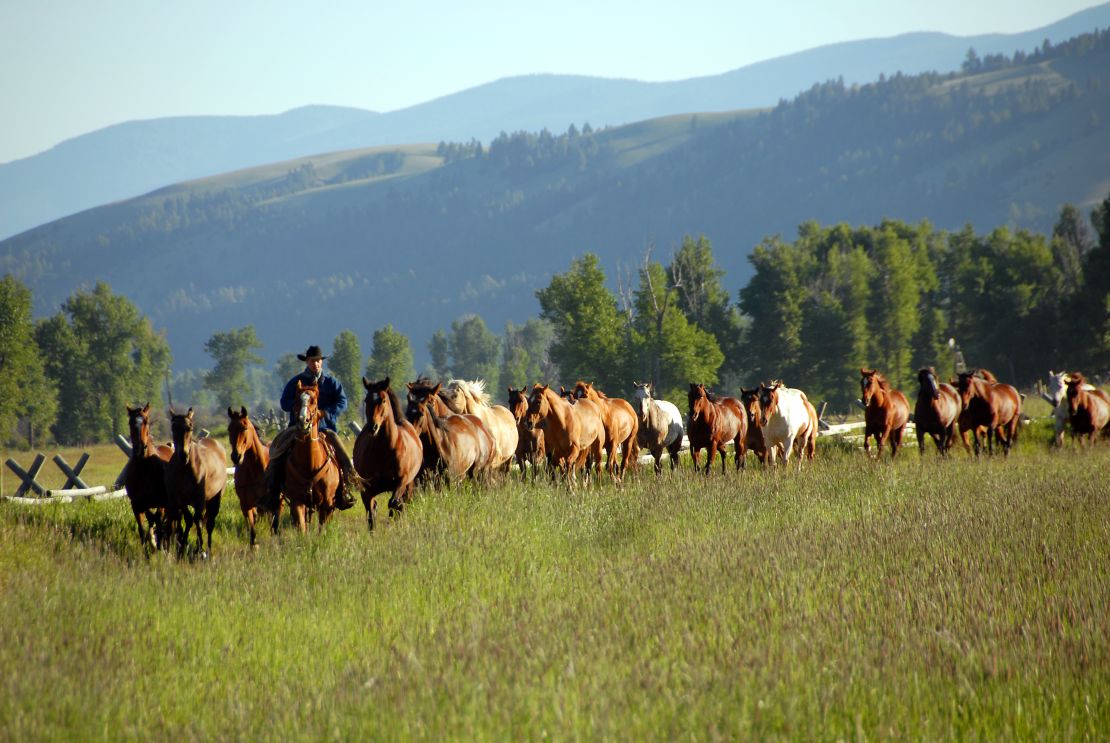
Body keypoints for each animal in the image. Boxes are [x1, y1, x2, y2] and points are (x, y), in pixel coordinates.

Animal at [124, 399, 173, 550]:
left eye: (146, 421)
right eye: (130, 422)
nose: (140, 447)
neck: (144, 470)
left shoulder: (162, 503)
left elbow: (159, 522)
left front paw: (161, 548)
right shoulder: (136, 505)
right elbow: (142, 530)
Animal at [163, 408, 226, 559]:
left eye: (190, 427)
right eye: (173, 427)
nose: (183, 455)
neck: (185, 469)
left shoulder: (199, 499)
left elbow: (197, 520)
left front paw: (200, 549)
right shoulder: (179, 499)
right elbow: (189, 519)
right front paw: (181, 549)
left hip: (215, 498)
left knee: (209, 523)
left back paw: (208, 548)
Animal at [225, 406, 275, 544]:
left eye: (245, 428)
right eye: (229, 429)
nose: (236, 457)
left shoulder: (269, 503)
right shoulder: (245, 504)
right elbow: (252, 530)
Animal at [284, 379, 339, 530]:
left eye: (314, 400)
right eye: (297, 400)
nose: (303, 421)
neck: (310, 464)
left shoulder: (326, 504)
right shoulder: (297, 501)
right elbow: (302, 528)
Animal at [355, 379, 424, 530]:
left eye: (383, 400)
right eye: (366, 400)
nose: (373, 427)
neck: (384, 450)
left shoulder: (401, 482)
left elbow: (393, 504)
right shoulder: (367, 489)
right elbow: (371, 513)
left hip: (408, 486)